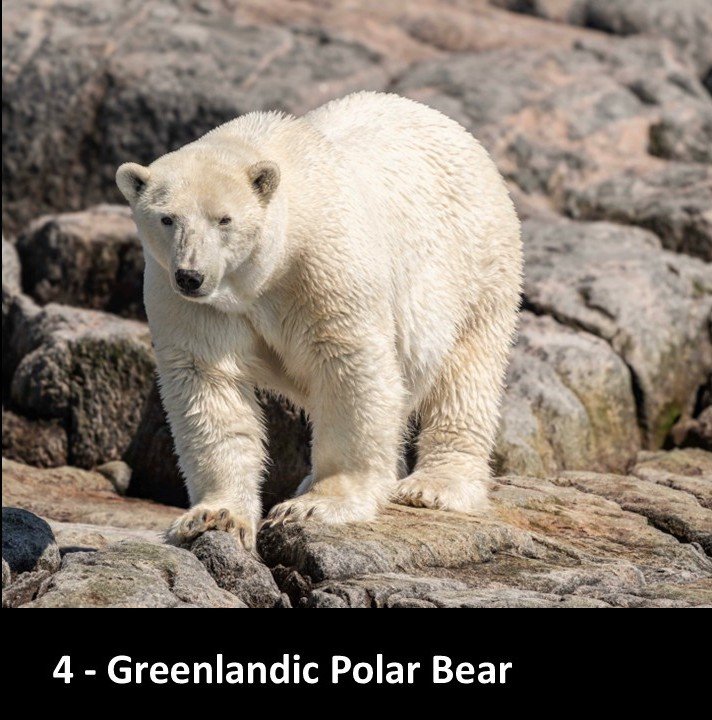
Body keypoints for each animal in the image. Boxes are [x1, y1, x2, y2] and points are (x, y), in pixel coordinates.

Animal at [116, 91, 522, 549]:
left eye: (224, 219)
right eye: (167, 218)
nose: (192, 275)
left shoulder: (324, 265)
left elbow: (349, 366)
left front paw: (318, 504)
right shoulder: (192, 301)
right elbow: (207, 382)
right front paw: (213, 516)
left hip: (477, 261)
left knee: (466, 372)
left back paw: (434, 486)